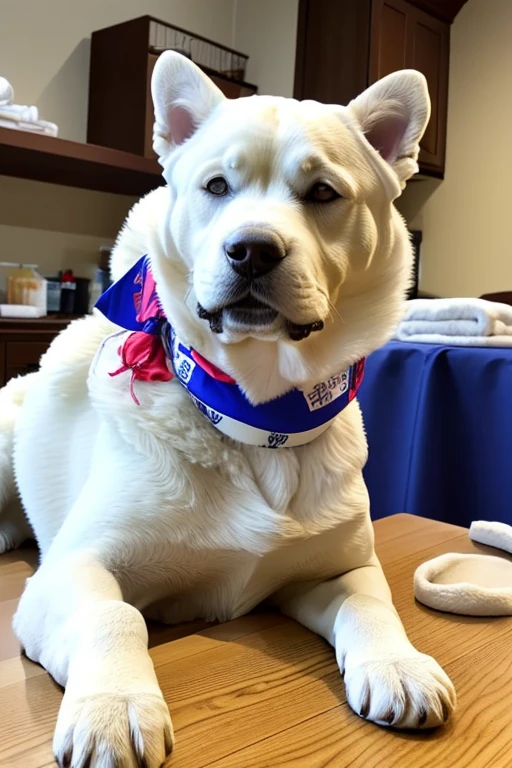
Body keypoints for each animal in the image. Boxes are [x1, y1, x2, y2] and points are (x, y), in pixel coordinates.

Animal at [0, 54, 456, 768]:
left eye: (322, 193)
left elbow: (371, 604)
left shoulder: (338, 567)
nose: (253, 250)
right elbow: (114, 614)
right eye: (216, 185)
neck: (257, 421)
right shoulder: (73, 570)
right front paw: (114, 705)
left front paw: (398, 664)